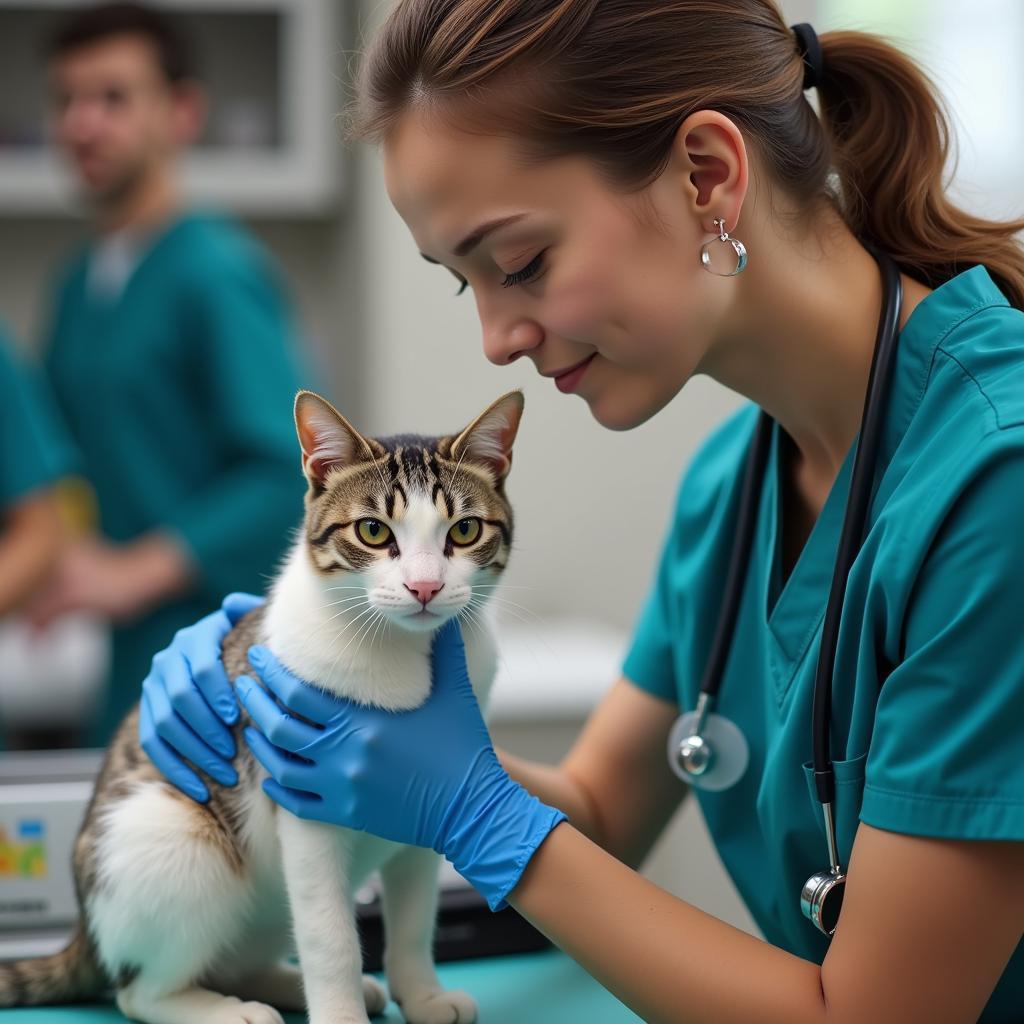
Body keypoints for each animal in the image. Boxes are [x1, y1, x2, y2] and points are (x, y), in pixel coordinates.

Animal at [0, 389, 524, 1024]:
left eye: (465, 529)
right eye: (374, 532)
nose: (424, 587)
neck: (404, 656)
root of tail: (83, 927)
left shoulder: (432, 802)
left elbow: (415, 921)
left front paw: (420, 993)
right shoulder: (304, 805)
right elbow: (329, 936)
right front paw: (342, 1016)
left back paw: (282, 983)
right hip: (177, 845)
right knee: (137, 991)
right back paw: (224, 1009)